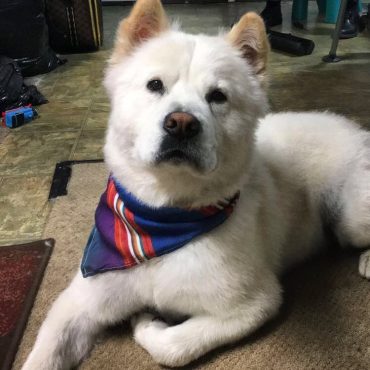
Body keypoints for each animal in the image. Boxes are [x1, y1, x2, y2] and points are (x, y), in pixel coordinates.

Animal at [23, 0, 370, 368]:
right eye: (155, 85)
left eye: (217, 96)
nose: (181, 124)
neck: (163, 220)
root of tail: (354, 128)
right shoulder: (79, 302)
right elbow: (44, 353)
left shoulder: (252, 304)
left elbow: (173, 346)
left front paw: (147, 322)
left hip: (350, 220)